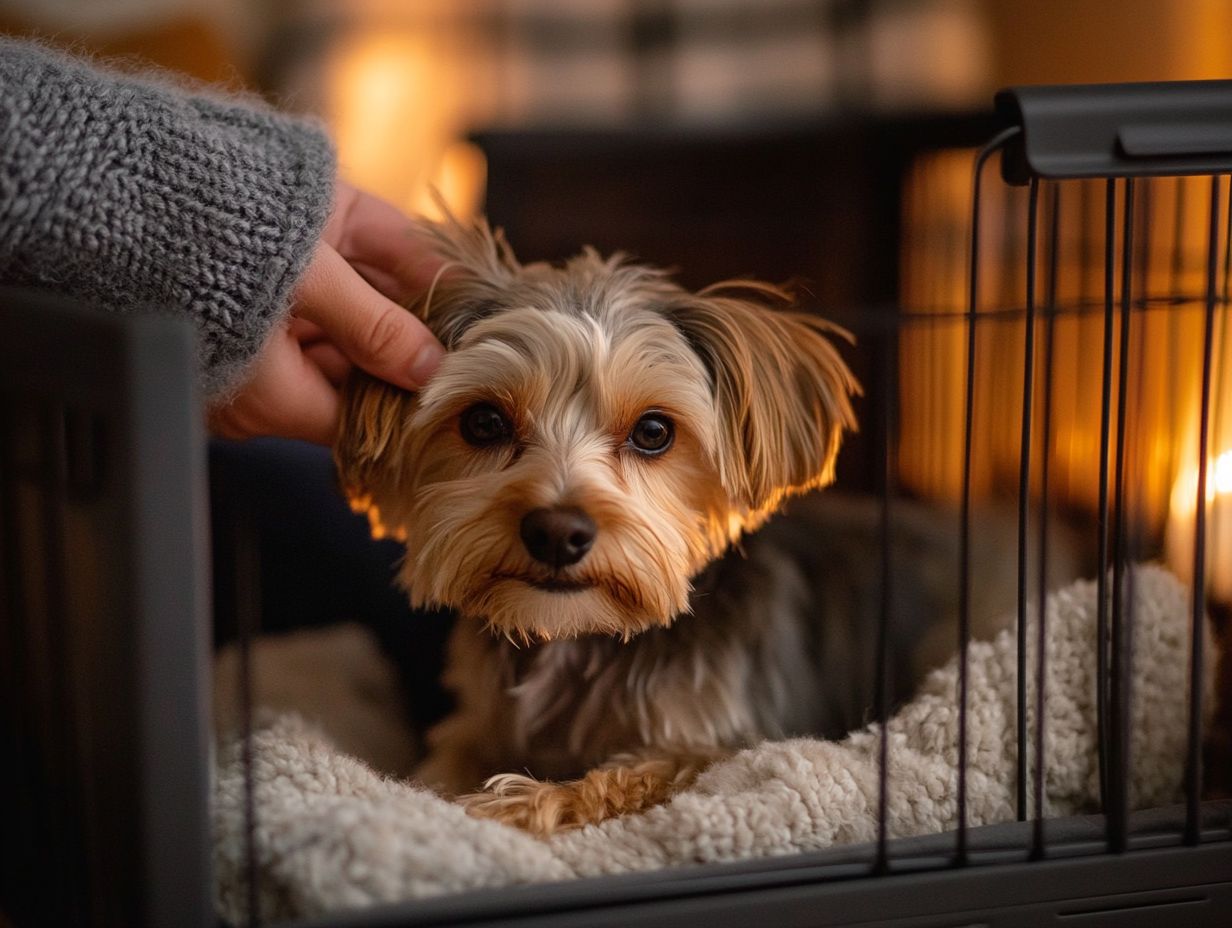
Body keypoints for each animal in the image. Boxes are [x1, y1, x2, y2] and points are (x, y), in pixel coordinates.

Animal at [332, 215, 1015, 833]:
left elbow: (639, 772)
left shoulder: (732, 744)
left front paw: (525, 803)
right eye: (483, 423)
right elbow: (442, 761)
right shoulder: (478, 722)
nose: (557, 531)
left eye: (654, 431)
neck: (581, 638)